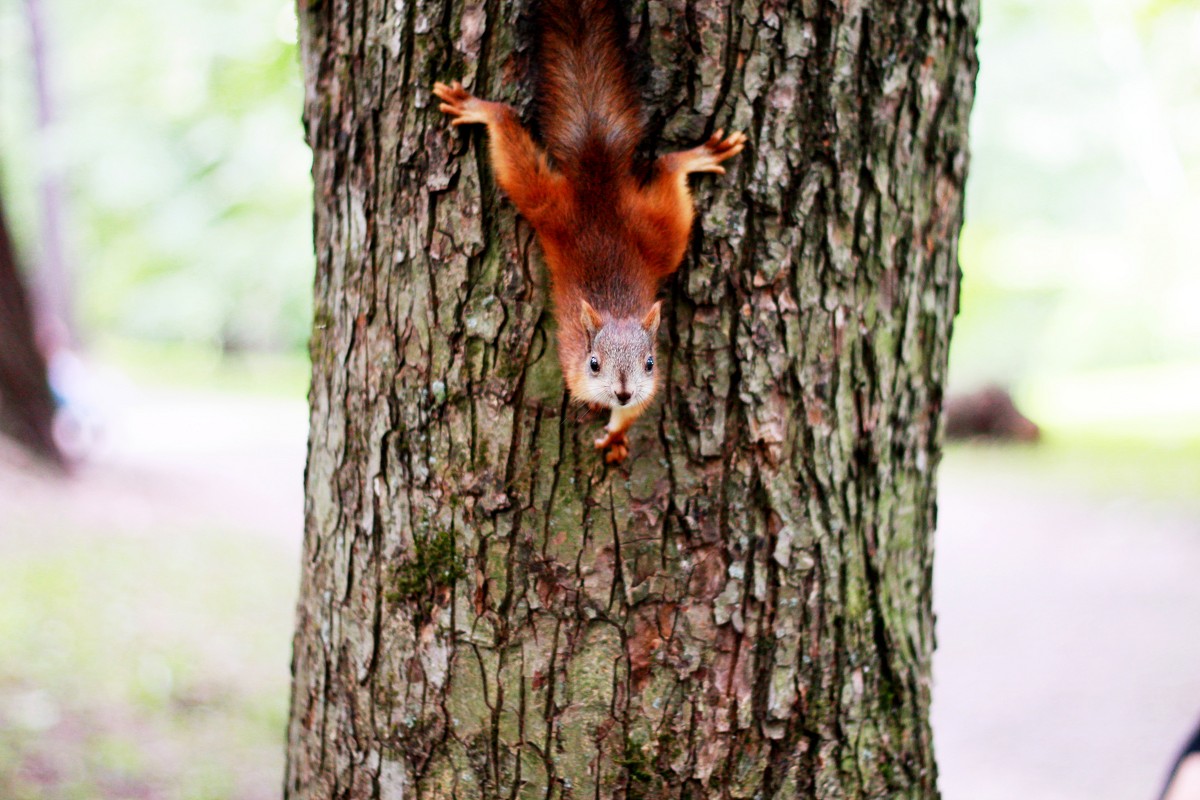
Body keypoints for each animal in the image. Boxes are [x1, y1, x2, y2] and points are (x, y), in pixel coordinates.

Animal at [436, 0, 744, 462]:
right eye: (594, 362)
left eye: (650, 362)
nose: (622, 391)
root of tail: (597, 187)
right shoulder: (573, 370)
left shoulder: (649, 386)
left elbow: (636, 411)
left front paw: (616, 433)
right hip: (549, 204)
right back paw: (480, 107)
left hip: (650, 232)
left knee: (667, 169)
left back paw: (696, 156)